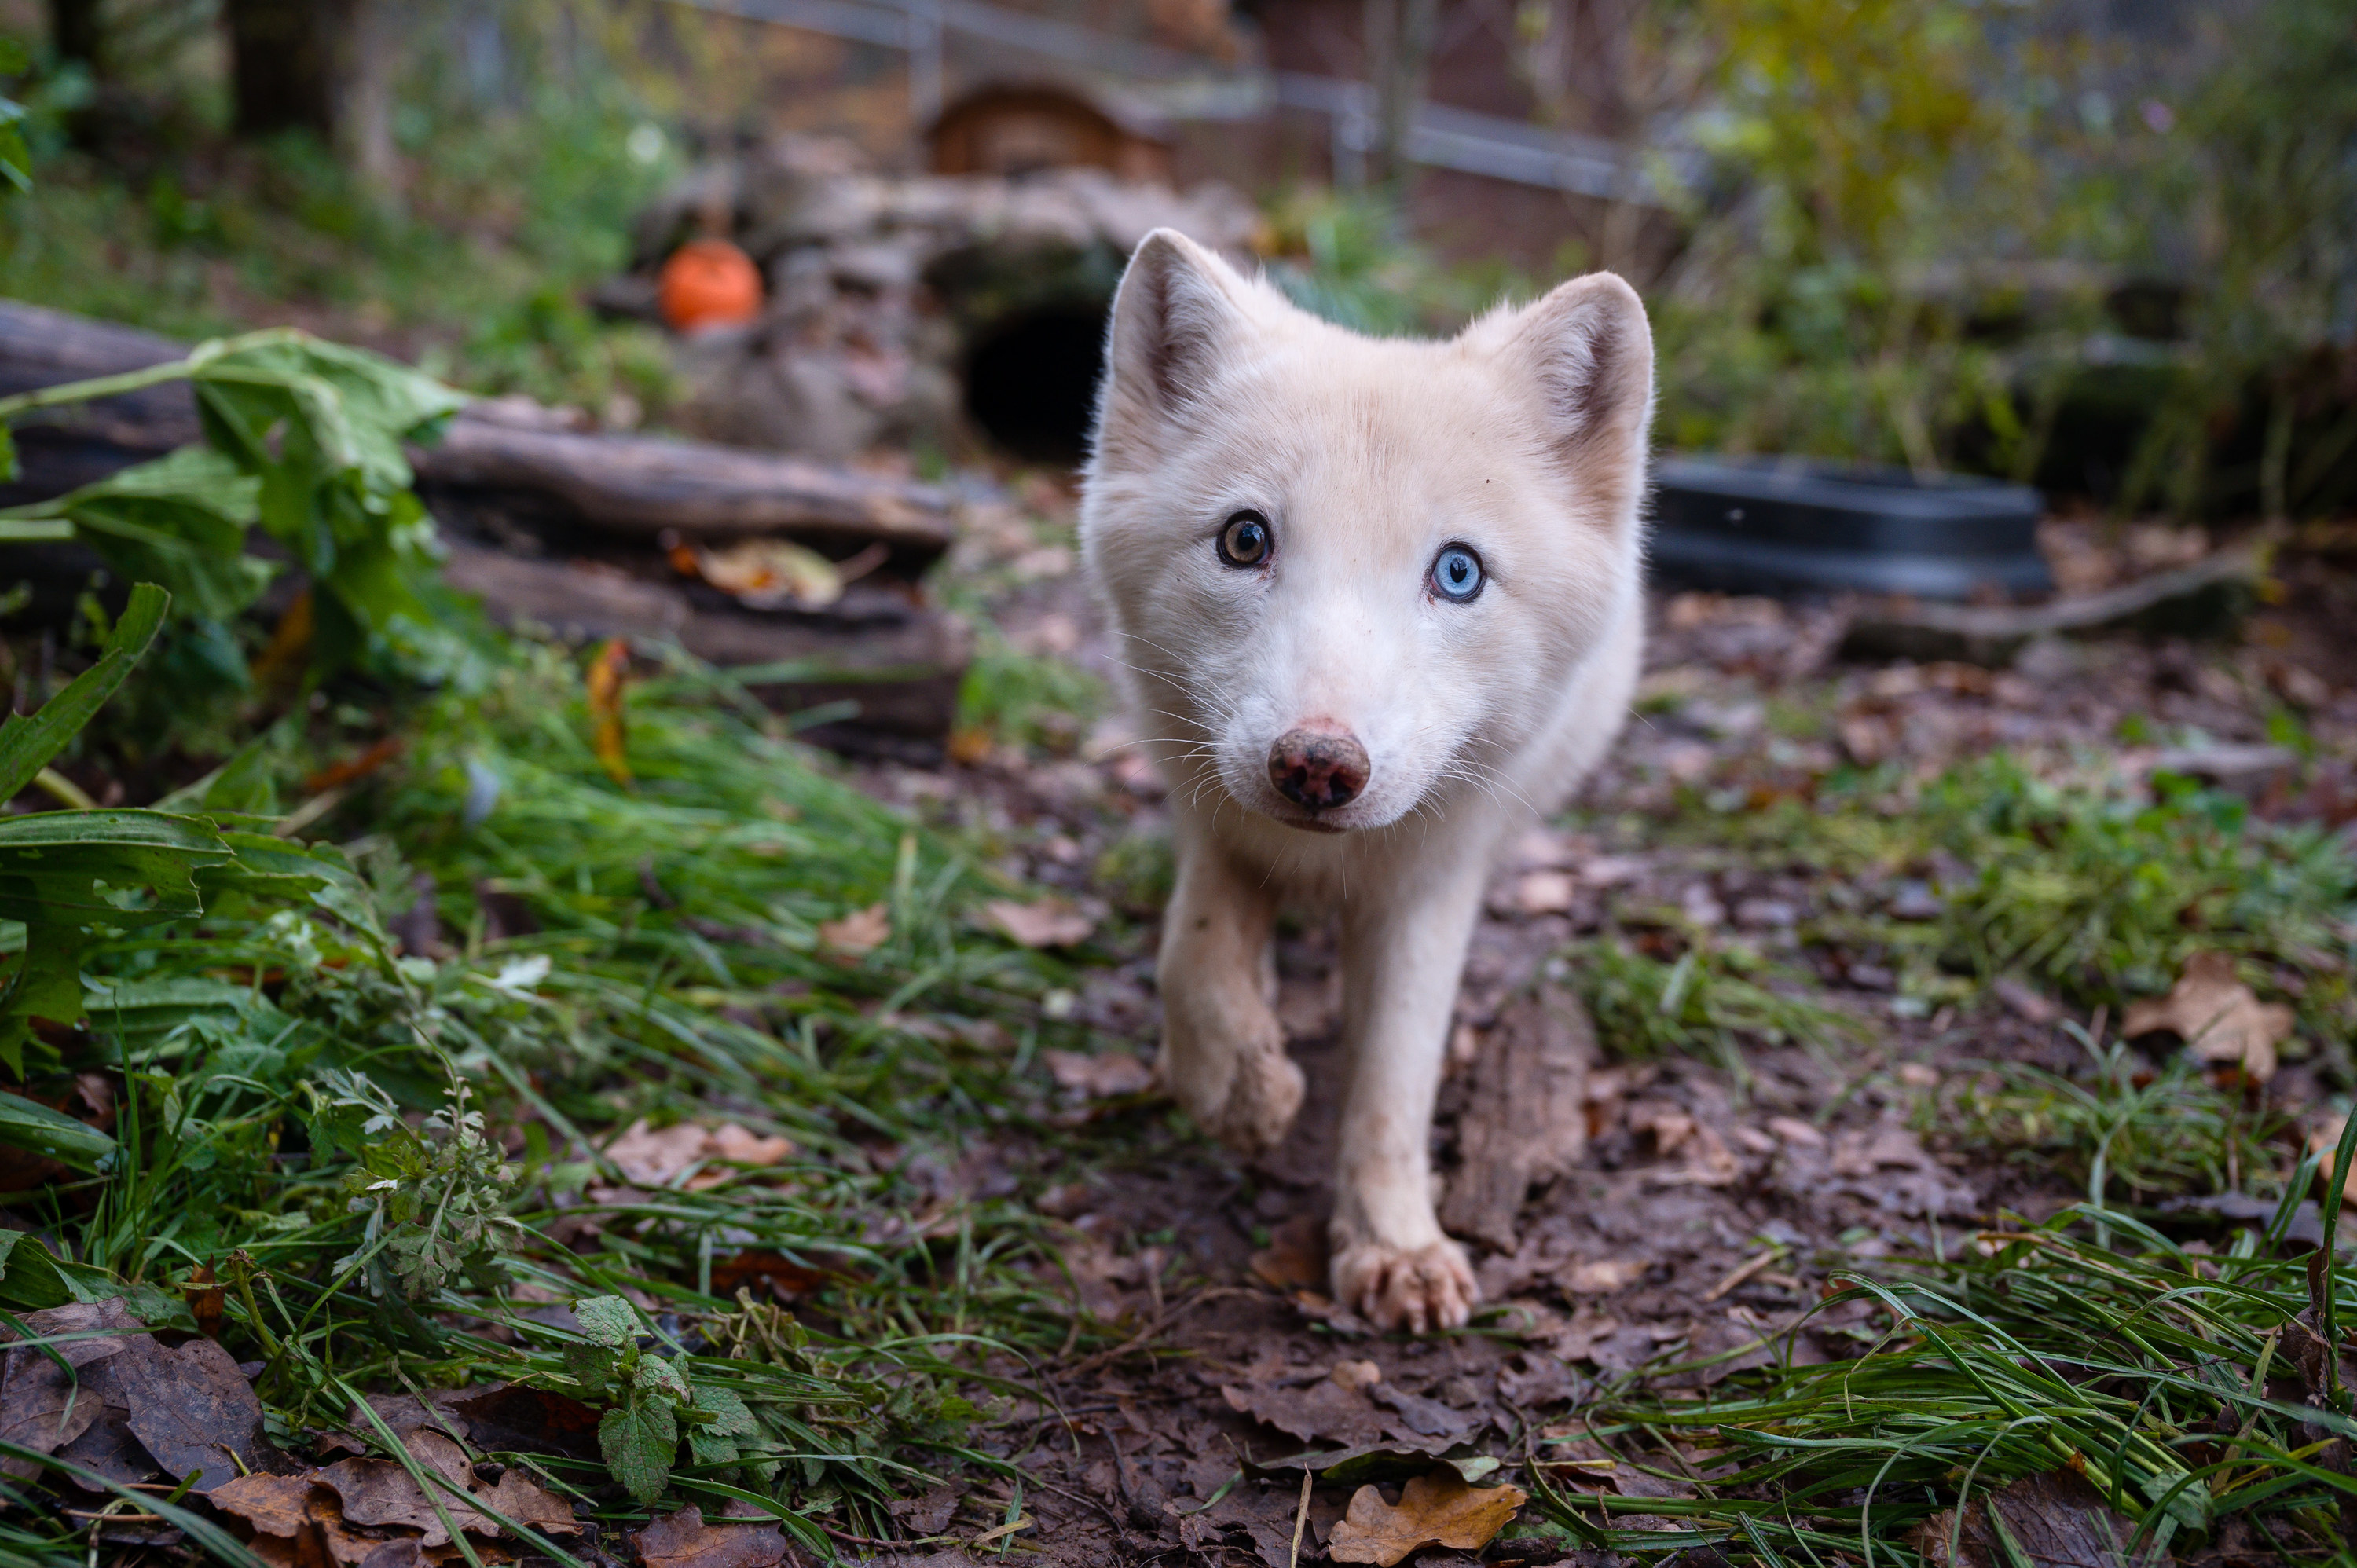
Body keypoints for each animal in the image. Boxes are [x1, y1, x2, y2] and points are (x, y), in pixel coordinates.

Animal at [1080, 229, 1650, 1329]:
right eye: (1245, 539)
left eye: (1458, 572)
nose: (1317, 766)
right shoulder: (1214, 817)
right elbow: (1191, 956)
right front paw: (1237, 1088)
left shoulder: (1433, 883)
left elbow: (1394, 1075)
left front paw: (1394, 1244)